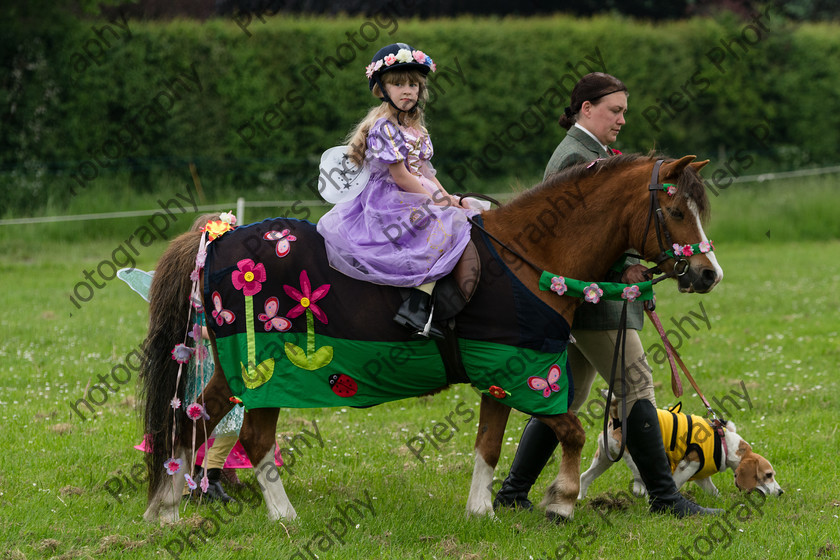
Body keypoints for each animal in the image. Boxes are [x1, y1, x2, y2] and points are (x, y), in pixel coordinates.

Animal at [139, 154, 720, 524]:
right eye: (675, 212)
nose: (708, 274)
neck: (528, 256)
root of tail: (219, 236)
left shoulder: (503, 373)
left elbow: (490, 444)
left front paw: (481, 511)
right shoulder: (521, 371)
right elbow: (573, 431)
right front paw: (561, 500)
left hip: (240, 372)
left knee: (195, 419)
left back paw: (165, 508)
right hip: (267, 374)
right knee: (248, 438)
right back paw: (283, 517)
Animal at [576, 398, 780, 498]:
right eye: (768, 475)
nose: (781, 492)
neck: (724, 442)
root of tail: (617, 421)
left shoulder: (702, 475)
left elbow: (714, 492)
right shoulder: (688, 465)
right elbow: (676, 483)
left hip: (603, 459)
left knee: (584, 477)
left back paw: (579, 499)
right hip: (634, 458)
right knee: (639, 477)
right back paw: (640, 490)